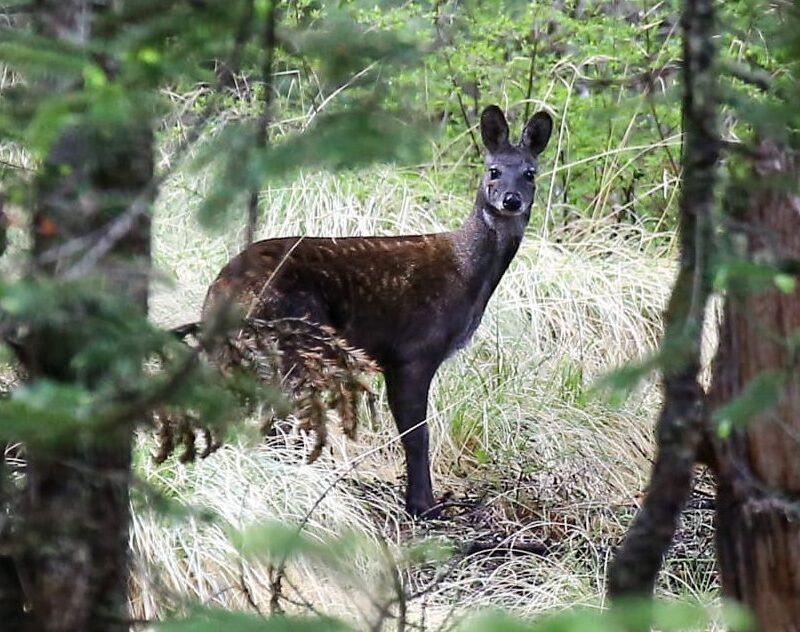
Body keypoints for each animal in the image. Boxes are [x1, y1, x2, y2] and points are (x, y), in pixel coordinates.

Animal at [202, 105, 553, 518]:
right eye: (493, 170)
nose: (512, 200)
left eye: (530, 173)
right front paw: (424, 506)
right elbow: (416, 433)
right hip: (294, 339)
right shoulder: (413, 350)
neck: (466, 273)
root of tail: (220, 290)